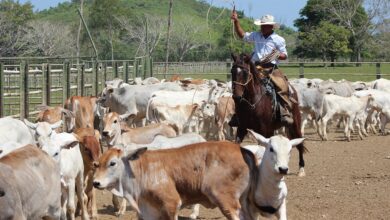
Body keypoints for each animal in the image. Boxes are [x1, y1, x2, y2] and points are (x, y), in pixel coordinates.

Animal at [93, 142, 258, 219]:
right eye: (97, 164)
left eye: (112, 163)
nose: (96, 182)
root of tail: (241, 149)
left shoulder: (171, 204)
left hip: (227, 201)